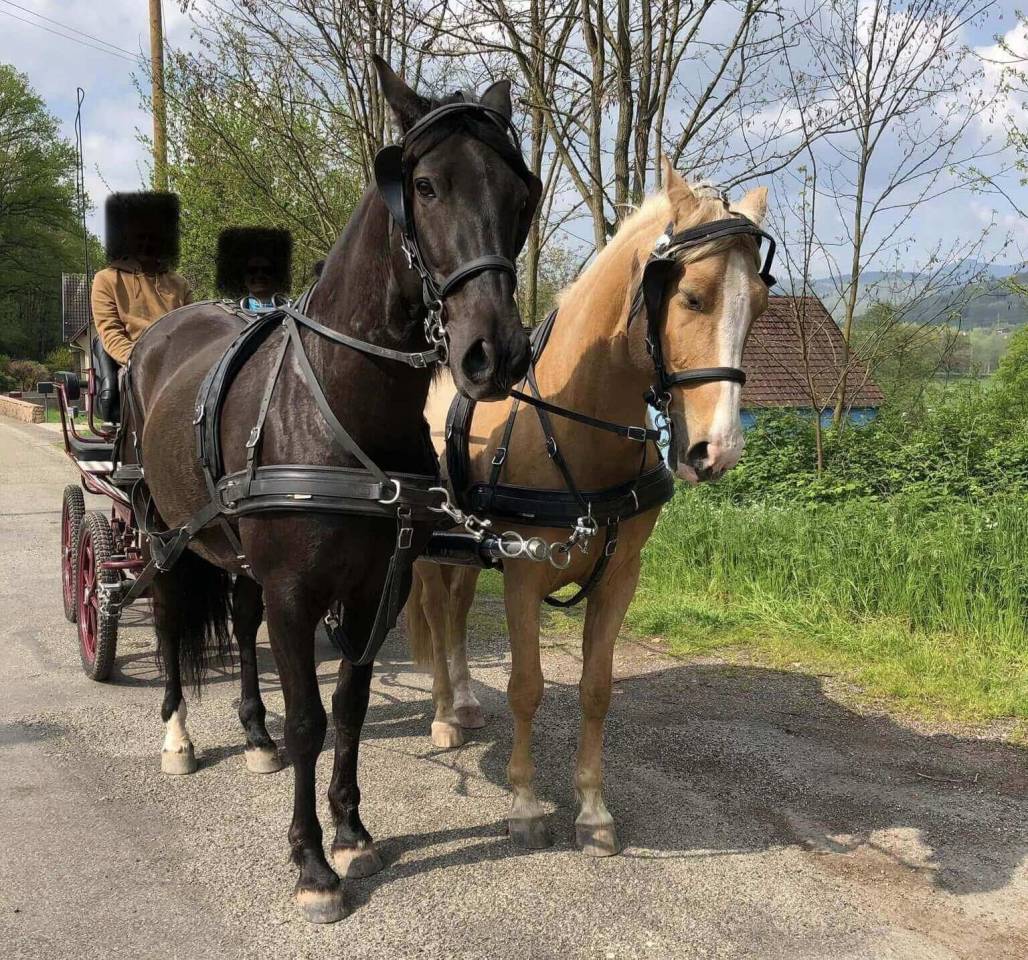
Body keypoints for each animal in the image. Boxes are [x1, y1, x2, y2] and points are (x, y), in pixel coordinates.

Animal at [120, 58, 541, 923]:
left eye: (520, 197)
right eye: (426, 185)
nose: (495, 352)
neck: (340, 404)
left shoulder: (377, 584)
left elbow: (348, 705)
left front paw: (350, 830)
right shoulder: (296, 590)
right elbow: (312, 719)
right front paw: (311, 863)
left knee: (239, 622)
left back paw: (254, 735)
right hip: (161, 530)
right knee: (174, 619)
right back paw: (179, 735)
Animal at [405, 160, 772, 856]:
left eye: (760, 307)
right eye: (692, 298)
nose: (718, 451)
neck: (575, 424)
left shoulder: (620, 576)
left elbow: (596, 691)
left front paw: (594, 811)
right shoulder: (524, 575)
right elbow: (526, 688)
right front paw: (524, 803)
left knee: (458, 613)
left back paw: (463, 700)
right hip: (426, 549)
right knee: (437, 618)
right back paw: (442, 715)